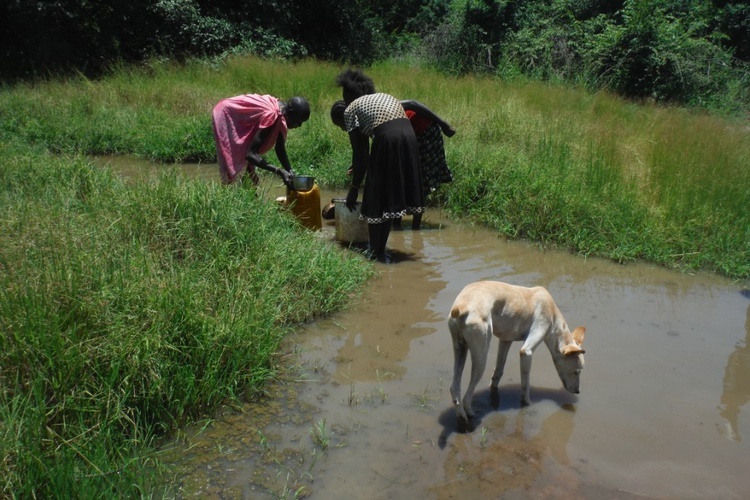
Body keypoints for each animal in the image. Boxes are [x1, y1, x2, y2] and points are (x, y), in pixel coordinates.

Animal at [446, 282, 588, 422]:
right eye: (576, 371)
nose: (578, 391)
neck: (553, 313)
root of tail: (460, 307)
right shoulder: (526, 351)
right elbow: (525, 385)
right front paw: (528, 403)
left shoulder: (505, 341)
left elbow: (498, 372)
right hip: (480, 358)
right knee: (467, 397)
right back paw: (470, 414)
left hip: (460, 349)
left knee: (454, 388)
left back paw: (461, 416)